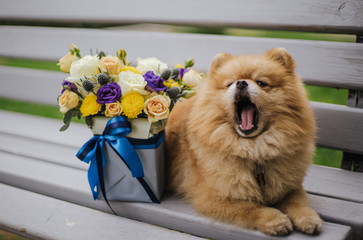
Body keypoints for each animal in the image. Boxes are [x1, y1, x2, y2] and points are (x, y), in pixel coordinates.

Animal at [166, 47, 322, 235]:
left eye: (261, 82)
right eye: (229, 83)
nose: (241, 83)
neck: (254, 150)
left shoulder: (290, 186)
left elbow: (298, 202)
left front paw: (308, 218)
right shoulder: (213, 196)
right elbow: (250, 207)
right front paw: (275, 219)